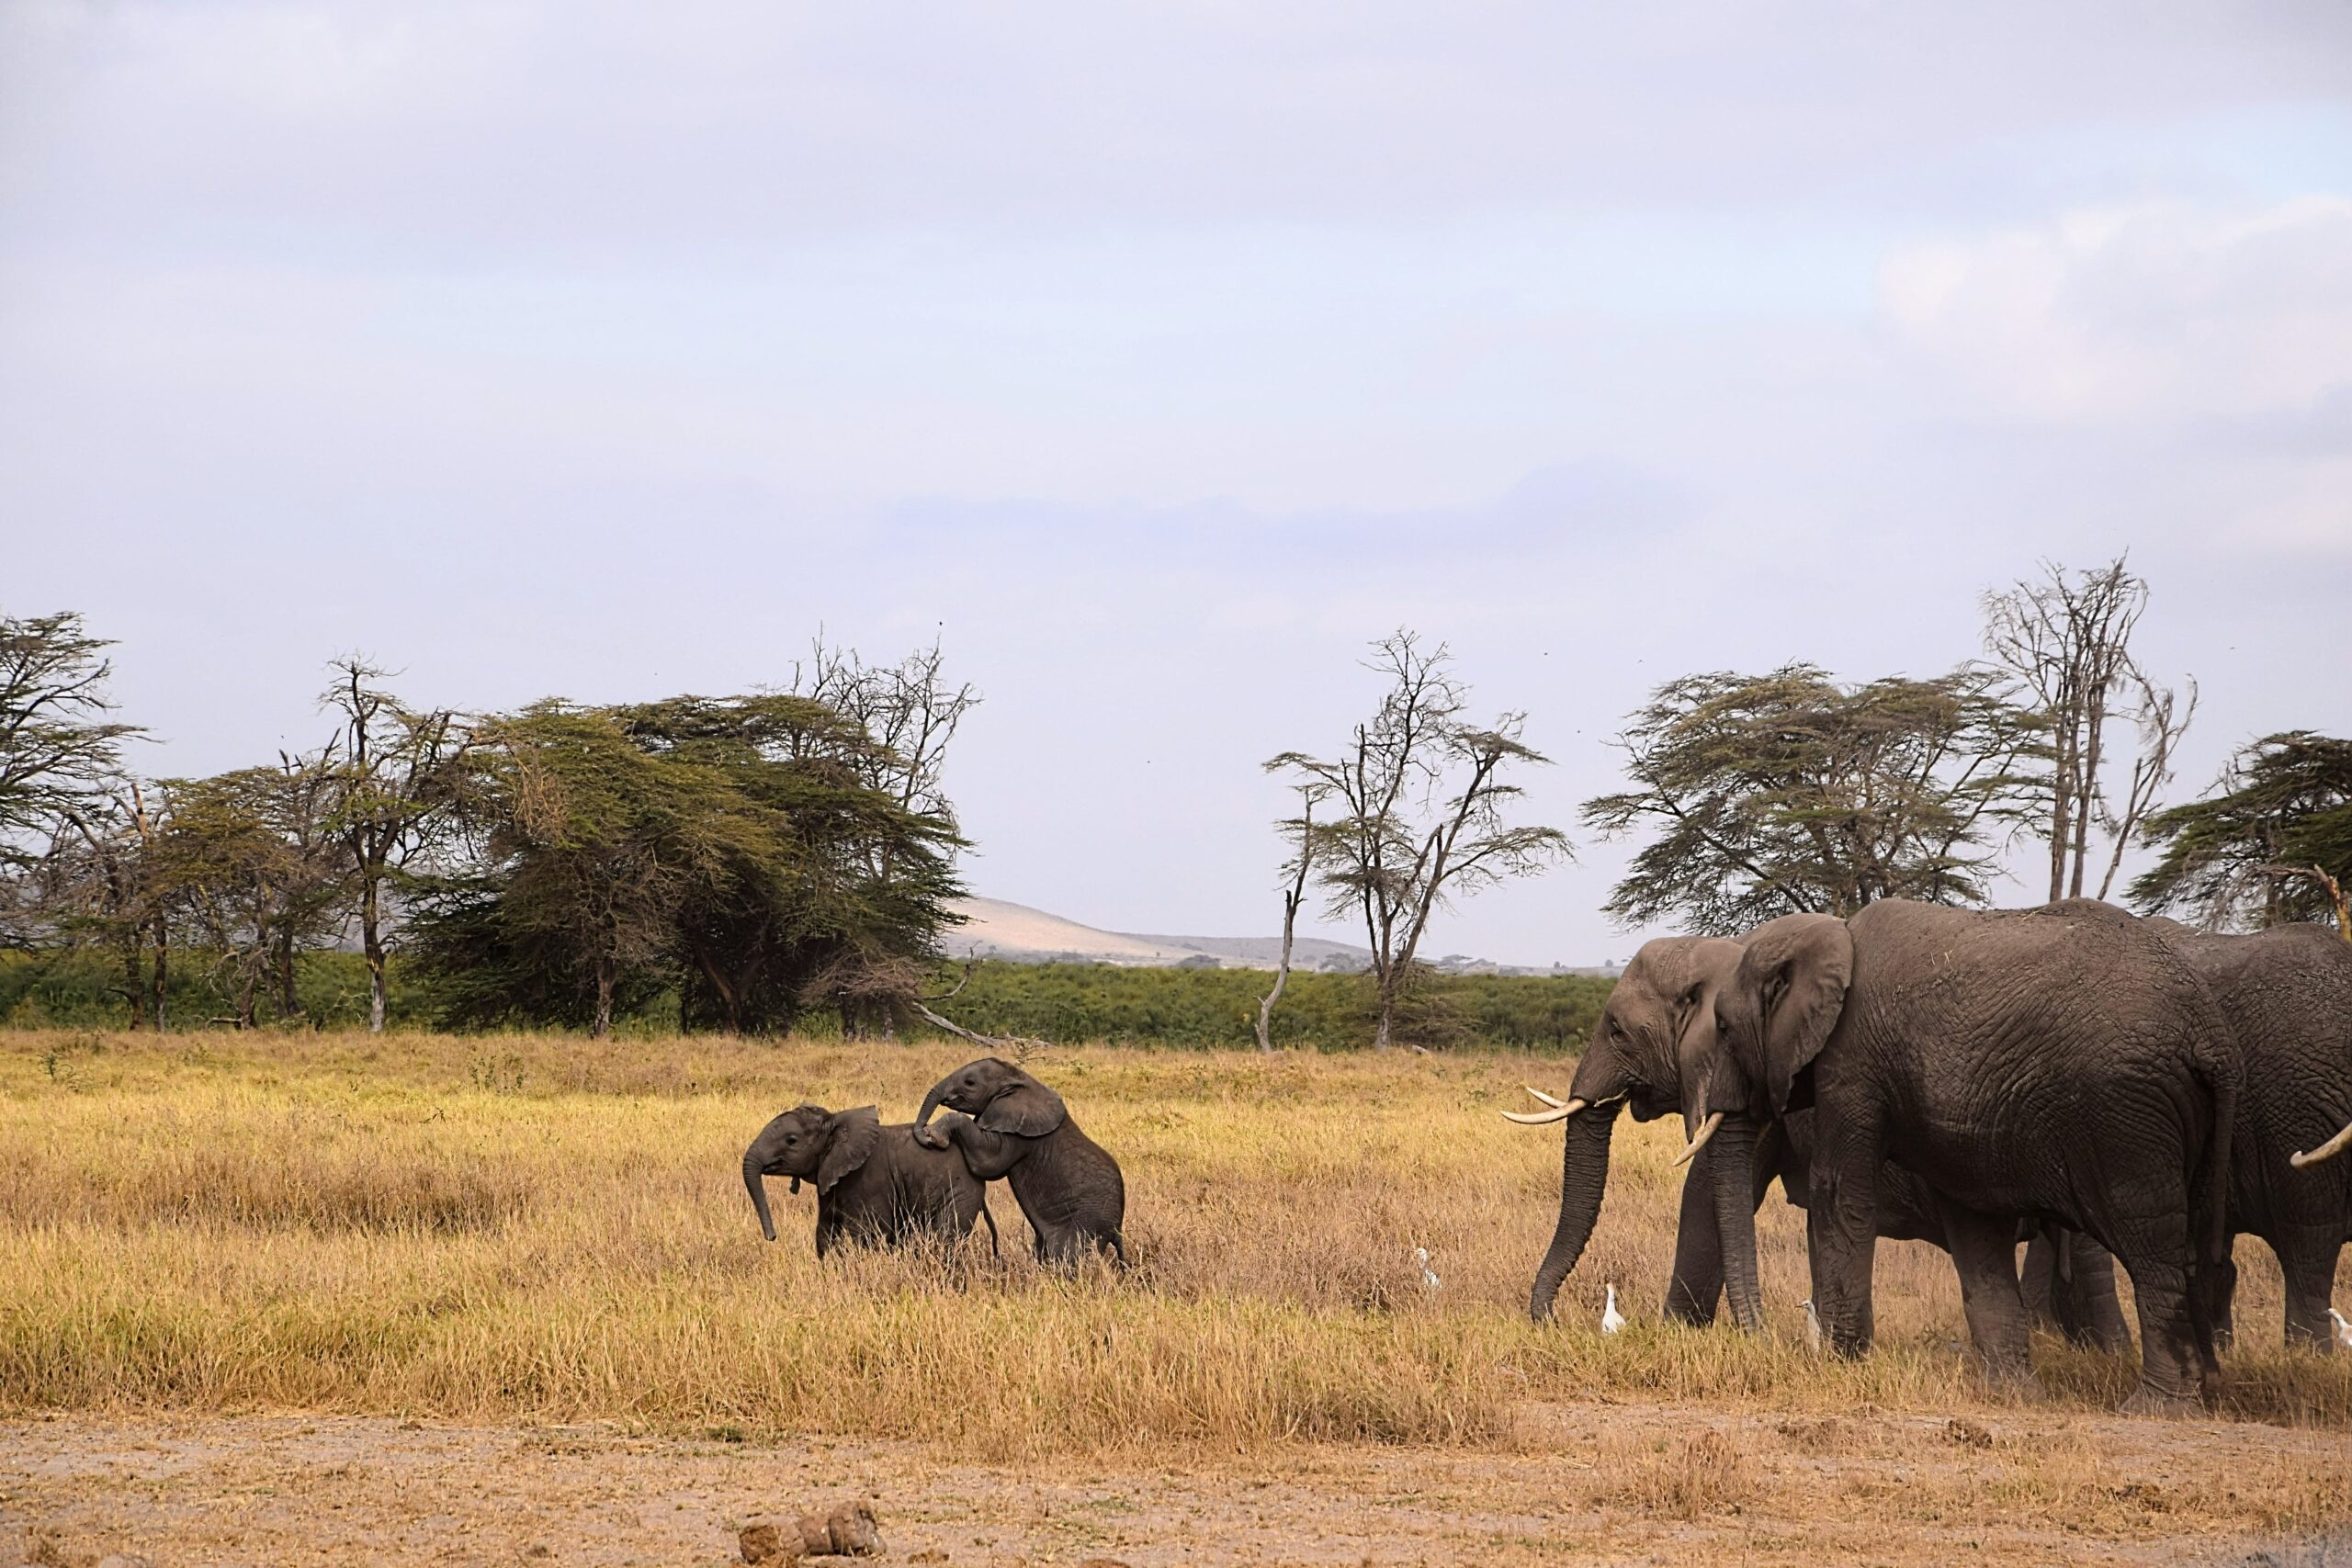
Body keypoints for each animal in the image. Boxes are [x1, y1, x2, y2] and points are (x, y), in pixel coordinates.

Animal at [742, 1104, 997, 1257]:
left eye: (791, 1141)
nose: (772, 1237)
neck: (836, 1121)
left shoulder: (868, 1180)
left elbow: (867, 1234)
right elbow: (824, 1231)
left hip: (962, 1191)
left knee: (946, 1238)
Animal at [913, 1057, 1127, 1266]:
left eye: (970, 1083)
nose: (923, 1134)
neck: (1017, 1078)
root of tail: (1117, 1231)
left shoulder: (1020, 1134)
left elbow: (989, 1163)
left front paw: (934, 1135)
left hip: (1088, 1221)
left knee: (1069, 1255)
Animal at [1699, 899, 2239, 1412]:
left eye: (1723, 1027)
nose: (1765, 1334)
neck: (1831, 935)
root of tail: (2211, 1035)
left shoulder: (1851, 1061)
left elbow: (1839, 1192)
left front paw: (1839, 1361)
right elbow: (1972, 1226)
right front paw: (2014, 1397)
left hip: (2125, 1119)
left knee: (2151, 1244)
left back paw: (2157, 1406)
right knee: (2191, 1244)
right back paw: (2205, 1388)